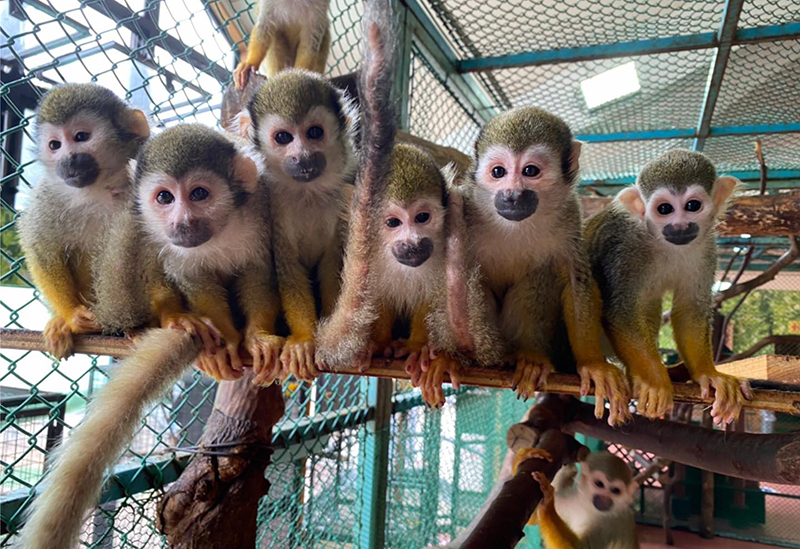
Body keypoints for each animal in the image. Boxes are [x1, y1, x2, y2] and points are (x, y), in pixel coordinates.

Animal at [17, 83, 150, 359]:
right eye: (55, 145)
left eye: (81, 137)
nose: (68, 159)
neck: (100, 188)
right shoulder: (49, 194)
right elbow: (41, 247)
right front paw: (71, 316)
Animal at [239, 69, 357, 382]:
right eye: (283, 137)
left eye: (314, 133)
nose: (302, 156)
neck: (307, 193)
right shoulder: (272, 206)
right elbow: (288, 268)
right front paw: (304, 339)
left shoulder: (343, 197)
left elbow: (332, 266)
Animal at [456, 107, 630, 425]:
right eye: (498, 172)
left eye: (530, 172)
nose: (512, 194)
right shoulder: (463, 206)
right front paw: (439, 359)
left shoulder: (570, 214)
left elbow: (576, 280)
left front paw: (593, 363)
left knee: (542, 275)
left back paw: (529, 357)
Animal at [584, 150, 752, 424]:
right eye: (664, 209)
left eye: (692, 206)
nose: (679, 226)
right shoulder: (624, 248)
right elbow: (621, 313)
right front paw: (654, 382)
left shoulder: (706, 250)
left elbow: (690, 310)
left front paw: (708, 374)